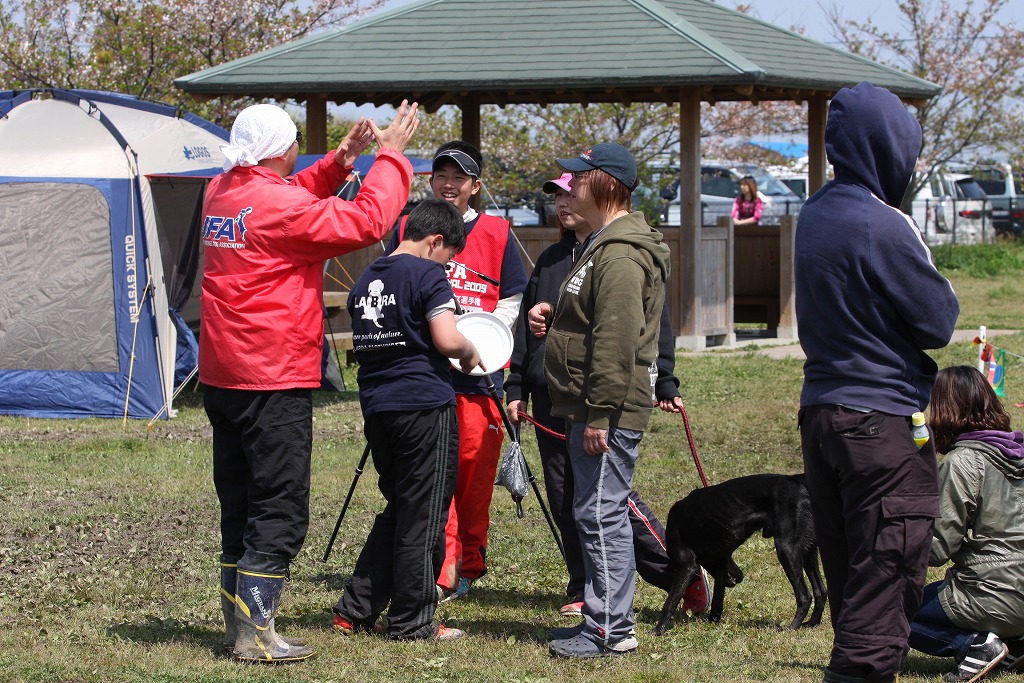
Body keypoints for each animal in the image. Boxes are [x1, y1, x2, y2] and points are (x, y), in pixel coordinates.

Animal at [655, 473, 823, 634]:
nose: (740, 577)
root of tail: (797, 480)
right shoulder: (722, 562)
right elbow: (717, 599)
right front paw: (712, 622)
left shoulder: (686, 565)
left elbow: (669, 602)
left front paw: (658, 630)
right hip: (809, 554)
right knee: (821, 591)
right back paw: (812, 622)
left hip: (786, 549)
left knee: (805, 596)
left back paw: (792, 627)